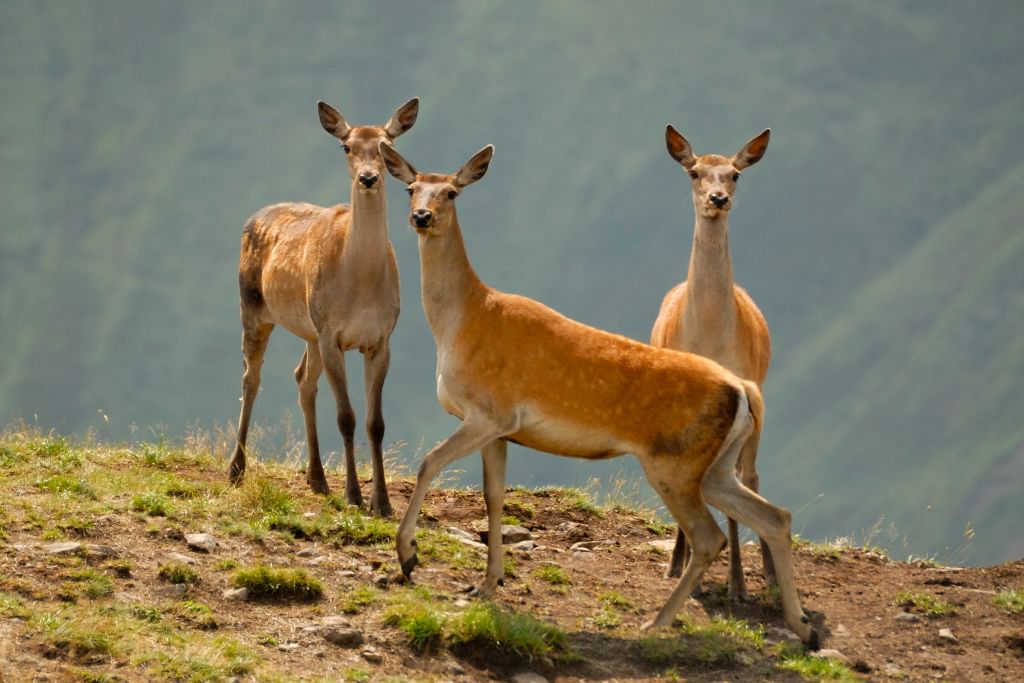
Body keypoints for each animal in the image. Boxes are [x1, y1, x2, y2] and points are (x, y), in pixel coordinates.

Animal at [229, 94, 419, 511]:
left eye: (388, 146)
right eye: (346, 146)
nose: (368, 178)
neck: (361, 285)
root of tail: (252, 217)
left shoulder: (381, 338)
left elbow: (376, 423)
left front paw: (383, 502)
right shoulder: (333, 334)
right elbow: (346, 416)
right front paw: (354, 496)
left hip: (310, 330)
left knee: (302, 380)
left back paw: (316, 478)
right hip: (253, 306)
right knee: (251, 378)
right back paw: (235, 470)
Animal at [380, 141, 819, 651]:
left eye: (451, 191)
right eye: (410, 188)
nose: (422, 216)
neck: (461, 321)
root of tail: (743, 388)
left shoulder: (488, 412)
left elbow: (429, 462)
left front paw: (408, 556)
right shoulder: (503, 429)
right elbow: (494, 497)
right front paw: (487, 583)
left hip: (674, 461)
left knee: (711, 536)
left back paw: (656, 624)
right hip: (714, 467)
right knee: (775, 516)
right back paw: (803, 627)